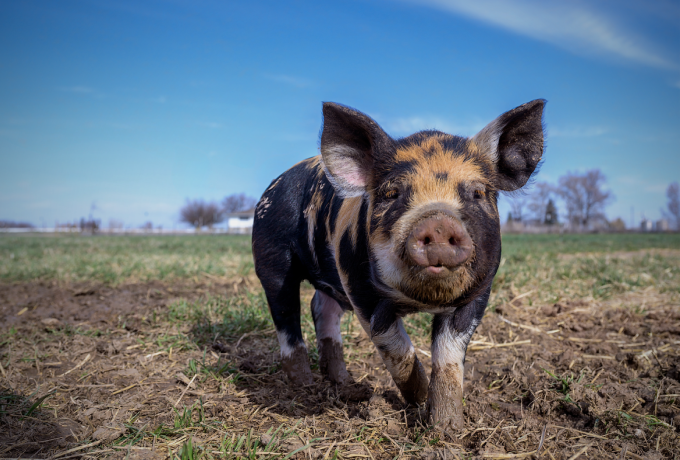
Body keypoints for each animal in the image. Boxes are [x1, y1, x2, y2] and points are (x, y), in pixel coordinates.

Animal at [252, 99, 544, 432]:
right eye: (392, 193)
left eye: (478, 192)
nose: (439, 222)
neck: (420, 301)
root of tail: (276, 183)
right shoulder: (359, 288)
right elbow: (395, 347)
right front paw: (417, 398)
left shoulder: (479, 293)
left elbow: (449, 357)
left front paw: (447, 428)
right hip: (271, 256)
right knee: (286, 316)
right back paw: (304, 385)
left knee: (321, 310)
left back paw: (344, 384)